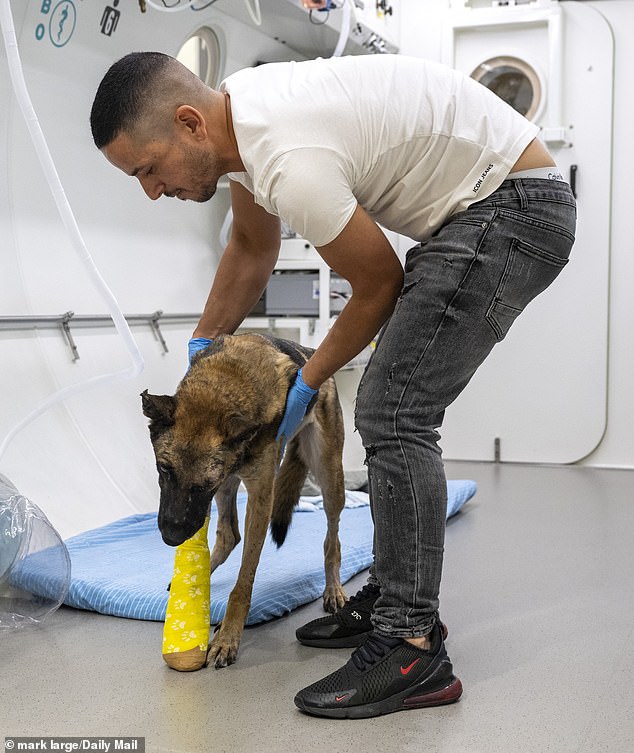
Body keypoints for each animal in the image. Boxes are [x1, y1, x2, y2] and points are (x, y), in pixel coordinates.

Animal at [141, 332, 346, 668]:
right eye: (164, 469)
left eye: (203, 485)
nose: (171, 538)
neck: (225, 385)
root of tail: (314, 351)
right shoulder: (221, 485)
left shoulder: (259, 495)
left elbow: (243, 583)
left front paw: (227, 638)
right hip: (229, 485)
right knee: (229, 534)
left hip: (329, 475)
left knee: (333, 538)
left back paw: (333, 589)